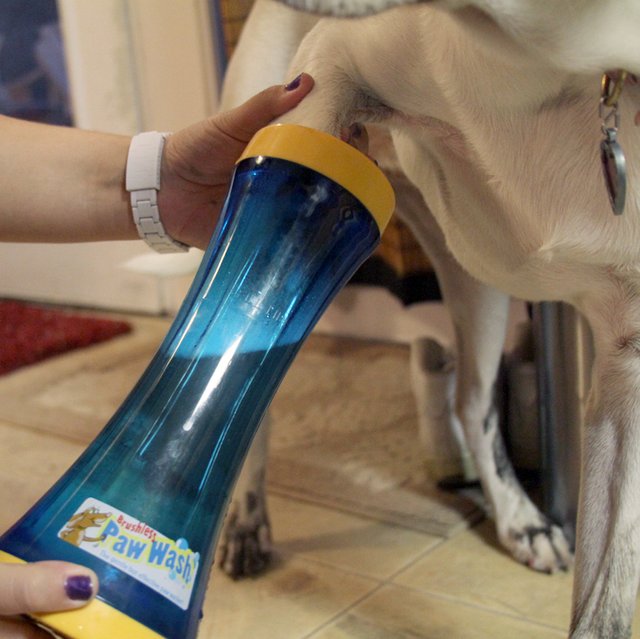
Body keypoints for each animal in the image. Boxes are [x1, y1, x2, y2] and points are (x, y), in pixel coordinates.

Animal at [218, 2, 640, 636]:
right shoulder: (332, 66)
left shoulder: (627, 373)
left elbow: (605, 599)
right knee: (250, 388)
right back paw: (243, 514)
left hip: (476, 290)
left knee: (472, 403)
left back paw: (520, 519)